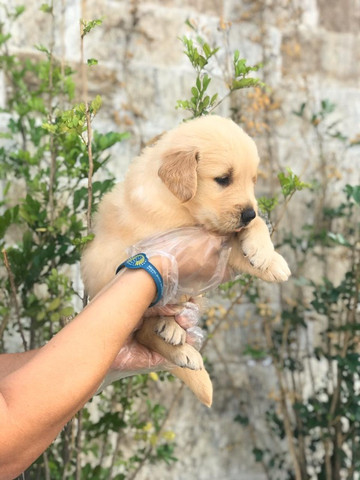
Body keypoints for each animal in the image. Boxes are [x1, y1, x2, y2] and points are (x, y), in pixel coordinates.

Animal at [81, 116, 290, 404]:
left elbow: (252, 229)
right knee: (144, 329)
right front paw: (268, 257)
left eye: (253, 181)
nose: (248, 213)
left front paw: (268, 257)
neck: (180, 203)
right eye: (223, 179)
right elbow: (234, 244)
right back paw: (177, 339)